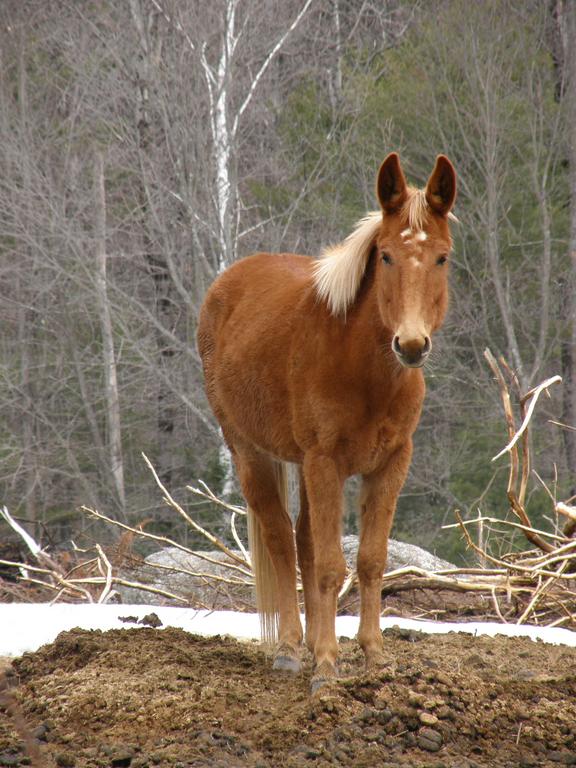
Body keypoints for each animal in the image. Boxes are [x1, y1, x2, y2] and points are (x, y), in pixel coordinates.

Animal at [198, 152, 454, 688]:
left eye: (442, 257)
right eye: (385, 256)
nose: (411, 345)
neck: (363, 371)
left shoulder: (390, 463)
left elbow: (370, 561)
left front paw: (374, 656)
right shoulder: (325, 461)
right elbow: (331, 567)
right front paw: (328, 667)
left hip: (303, 463)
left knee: (302, 541)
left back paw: (313, 643)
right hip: (250, 451)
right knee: (280, 540)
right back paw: (293, 649)